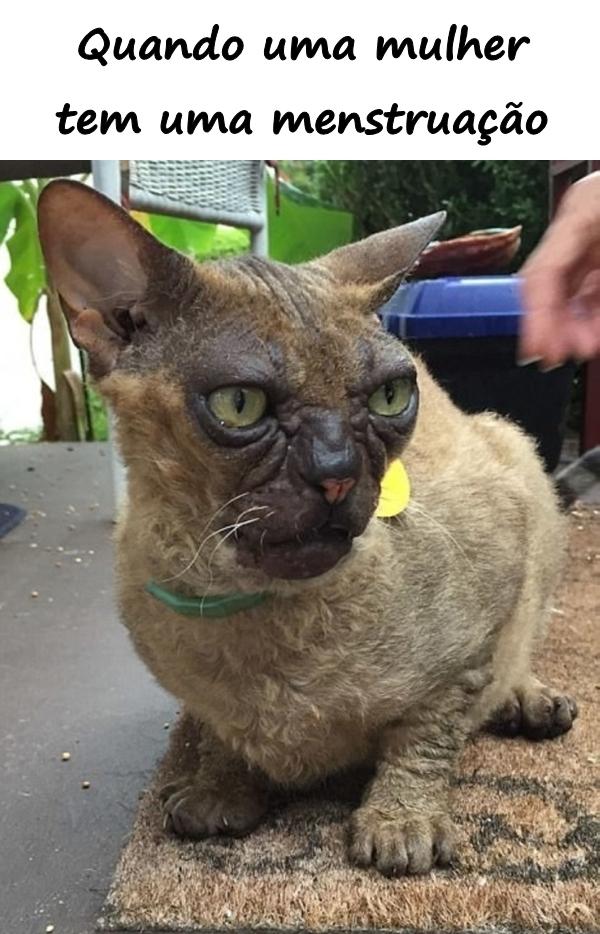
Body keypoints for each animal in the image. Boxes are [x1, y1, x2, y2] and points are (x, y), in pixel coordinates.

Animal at [38, 181, 576, 876]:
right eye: (240, 405)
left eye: (389, 397)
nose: (337, 472)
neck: (239, 600)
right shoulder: (201, 695)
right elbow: (218, 734)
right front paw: (220, 790)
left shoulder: (477, 632)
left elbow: (427, 735)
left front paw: (401, 824)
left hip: (519, 460)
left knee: (522, 650)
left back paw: (529, 702)